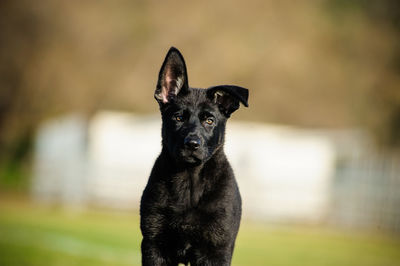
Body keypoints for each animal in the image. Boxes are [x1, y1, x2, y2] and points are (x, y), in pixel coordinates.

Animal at [139, 47, 248, 266]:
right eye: (178, 117)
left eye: (209, 120)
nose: (192, 144)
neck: (189, 181)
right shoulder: (153, 245)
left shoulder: (216, 250)